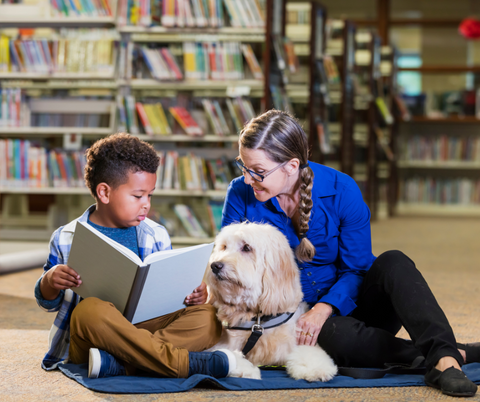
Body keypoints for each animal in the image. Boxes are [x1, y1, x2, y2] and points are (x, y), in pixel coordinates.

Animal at [206, 221, 338, 382]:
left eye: (247, 247)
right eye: (224, 247)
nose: (215, 265)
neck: (258, 319)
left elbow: (309, 352)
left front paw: (316, 368)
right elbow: (223, 354)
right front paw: (246, 369)